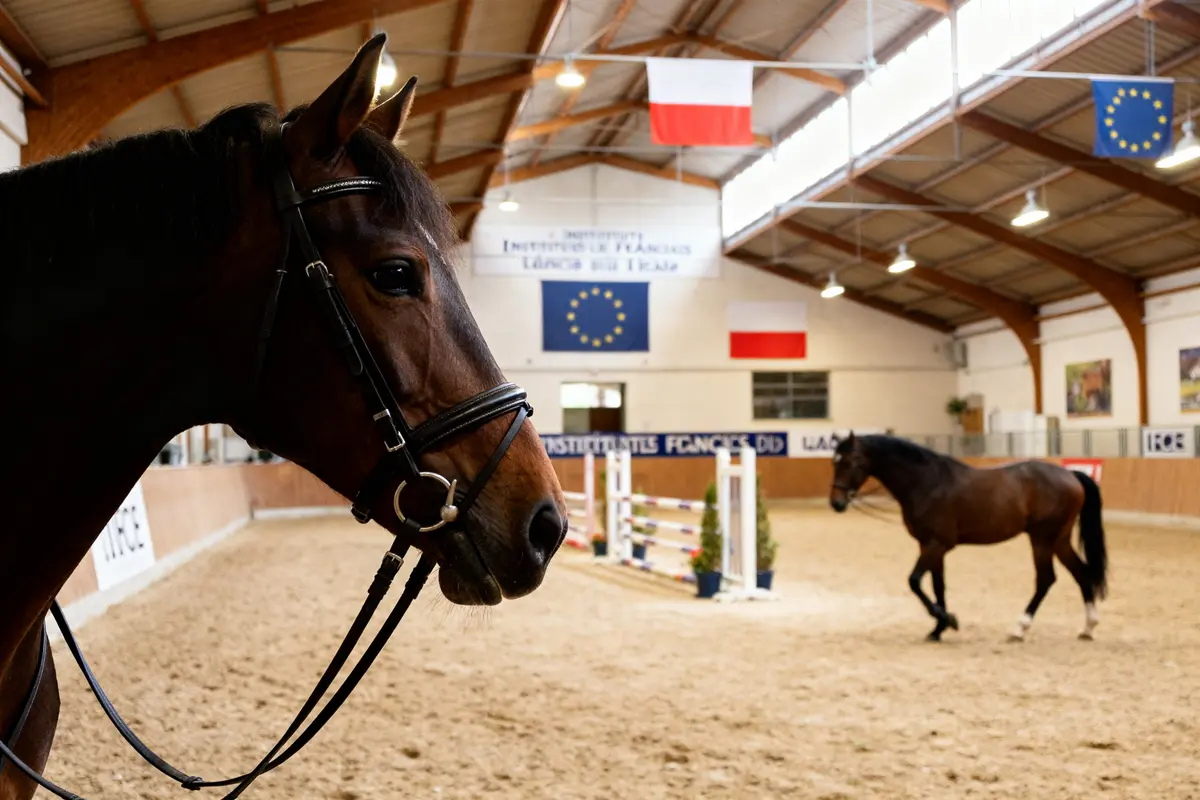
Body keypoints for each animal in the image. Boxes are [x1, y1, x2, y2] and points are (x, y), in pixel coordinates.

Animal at [828, 433, 1107, 643]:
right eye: (834, 462)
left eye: (850, 462)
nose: (836, 503)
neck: (926, 482)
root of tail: (1071, 475)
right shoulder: (930, 546)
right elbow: (938, 585)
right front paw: (938, 628)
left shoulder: (936, 545)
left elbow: (915, 581)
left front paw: (948, 620)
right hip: (1059, 540)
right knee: (1081, 573)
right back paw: (1088, 627)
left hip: (1042, 539)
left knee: (1046, 579)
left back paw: (1019, 628)